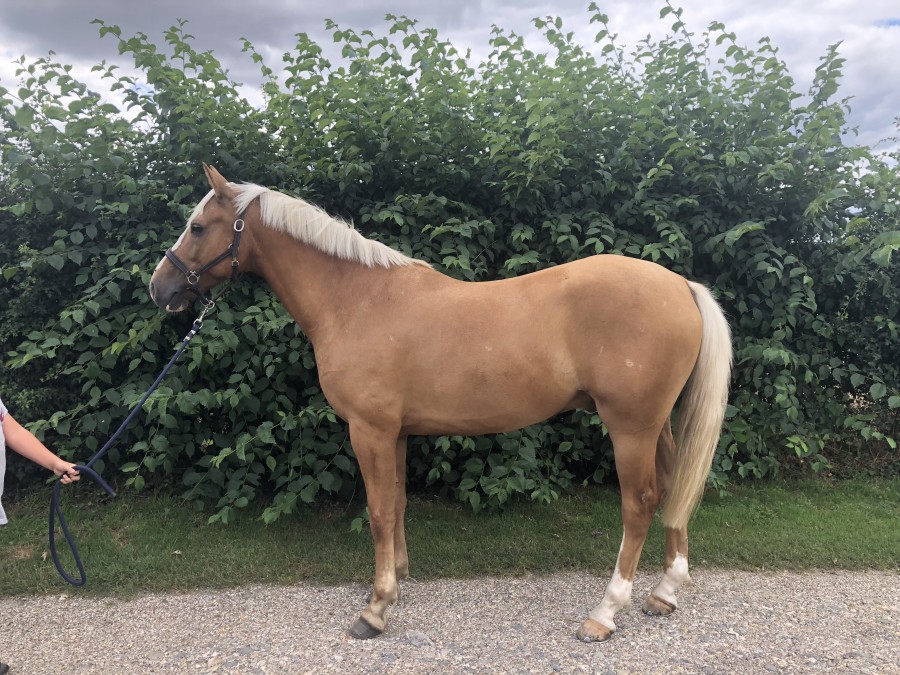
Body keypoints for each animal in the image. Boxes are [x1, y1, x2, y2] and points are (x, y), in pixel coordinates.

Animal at [149, 164, 732, 642]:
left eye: (198, 227)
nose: (160, 288)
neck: (356, 300)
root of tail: (680, 284)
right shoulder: (397, 432)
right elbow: (398, 504)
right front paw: (398, 581)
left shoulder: (369, 430)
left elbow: (378, 511)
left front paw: (376, 609)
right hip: (657, 426)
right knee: (674, 491)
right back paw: (664, 594)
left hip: (630, 428)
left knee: (639, 505)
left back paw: (605, 614)